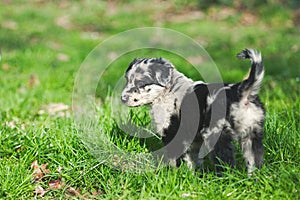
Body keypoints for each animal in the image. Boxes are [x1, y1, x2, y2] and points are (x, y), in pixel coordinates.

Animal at [120, 48, 264, 175]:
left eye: (141, 83)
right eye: (127, 80)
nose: (123, 98)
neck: (167, 91)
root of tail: (240, 91)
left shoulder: (171, 131)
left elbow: (174, 158)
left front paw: (173, 175)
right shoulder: (193, 139)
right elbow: (192, 159)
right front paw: (192, 175)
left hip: (217, 134)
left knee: (226, 161)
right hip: (252, 133)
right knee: (255, 161)